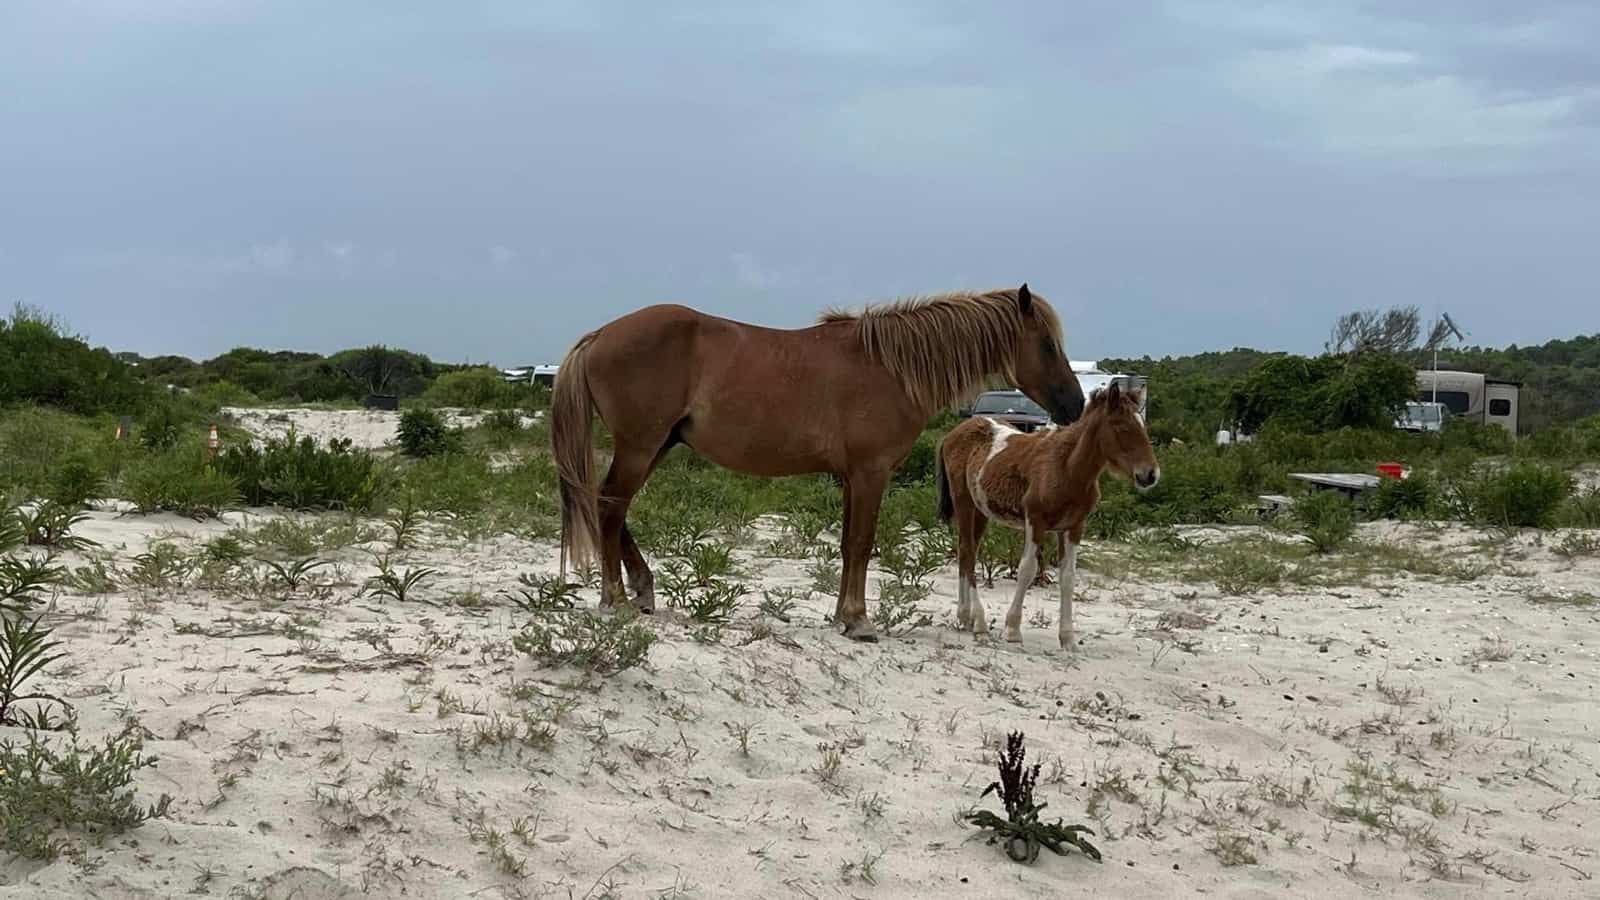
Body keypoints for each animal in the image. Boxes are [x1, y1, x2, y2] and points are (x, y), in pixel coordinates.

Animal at [551, 284, 1087, 643]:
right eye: (1046, 344)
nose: (1075, 405)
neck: (891, 368)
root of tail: (601, 334)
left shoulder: (852, 477)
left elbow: (849, 546)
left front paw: (842, 617)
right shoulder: (871, 473)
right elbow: (862, 544)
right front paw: (860, 620)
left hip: (658, 444)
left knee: (611, 509)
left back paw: (642, 590)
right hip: (640, 445)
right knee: (610, 510)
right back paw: (617, 598)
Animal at [935, 380, 1159, 649]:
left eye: (1143, 425)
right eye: (1121, 427)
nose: (1150, 475)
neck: (1067, 468)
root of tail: (953, 433)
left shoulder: (1074, 527)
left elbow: (1068, 577)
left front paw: (1068, 638)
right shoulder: (1035, 521)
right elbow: (1027, 569)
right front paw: (1012, 629)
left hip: (981, 511)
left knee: (965, 551)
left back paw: (964, 616)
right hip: (964, 503)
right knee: (968, 554)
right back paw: (979, 622)